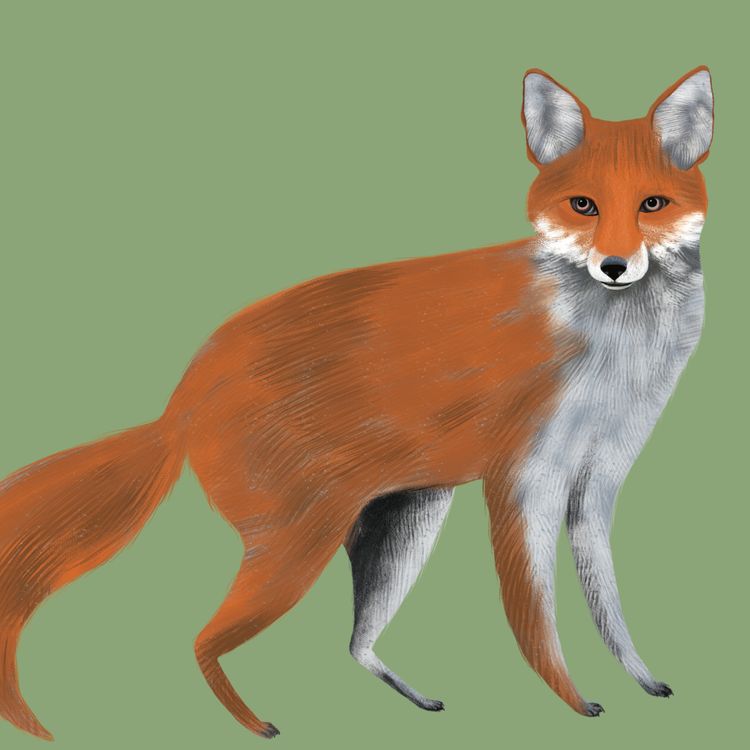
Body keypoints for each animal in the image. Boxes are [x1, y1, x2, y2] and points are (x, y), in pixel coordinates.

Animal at [0, 66, 713, 741]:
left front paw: (643, 680)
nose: (615, 265)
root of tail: (180, 401)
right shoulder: (523, 478)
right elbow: (535, 617)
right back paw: (257, 726)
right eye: (583, 205)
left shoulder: (597, 481)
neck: (613, 348)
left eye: (652, 204)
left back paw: (410, 697)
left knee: (353, 644)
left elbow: (608, 608)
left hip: (403, 524)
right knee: (201, 641)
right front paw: (574, 702)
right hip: (298, 548)